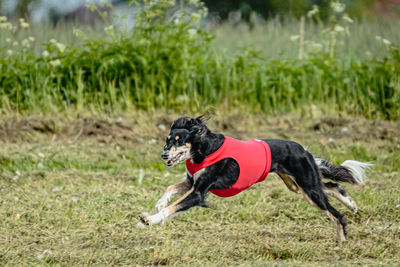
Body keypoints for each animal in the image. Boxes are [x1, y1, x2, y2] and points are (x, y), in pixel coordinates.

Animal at [138, 116, 372, 242]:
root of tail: (303, 149)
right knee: (331, 186)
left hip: (308, 188)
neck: (203, 148)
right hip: (298, 185)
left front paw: (151, 219)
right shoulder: (191, 182)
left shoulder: (198, 192)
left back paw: (342, 239)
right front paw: (159, 204)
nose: (164, 155)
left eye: (179, 141)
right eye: (168, 140)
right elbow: (170, 188)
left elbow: (174, 206)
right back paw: (351, 204)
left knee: (335, 213)